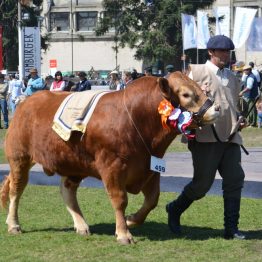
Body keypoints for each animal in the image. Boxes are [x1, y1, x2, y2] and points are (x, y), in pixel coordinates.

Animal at [0, 71, 219, 244]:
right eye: (186, 94)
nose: (215, 109)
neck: (137, 118)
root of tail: (26, 101)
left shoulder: (150, 167)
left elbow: (152, 200)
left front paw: (131, 220)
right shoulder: (112, 166)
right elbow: (120, 199)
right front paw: (123, 233)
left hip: (74, 163)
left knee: (67, 189)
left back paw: (81, 225)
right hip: (19, 158)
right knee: (15, 190)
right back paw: (13, 224)